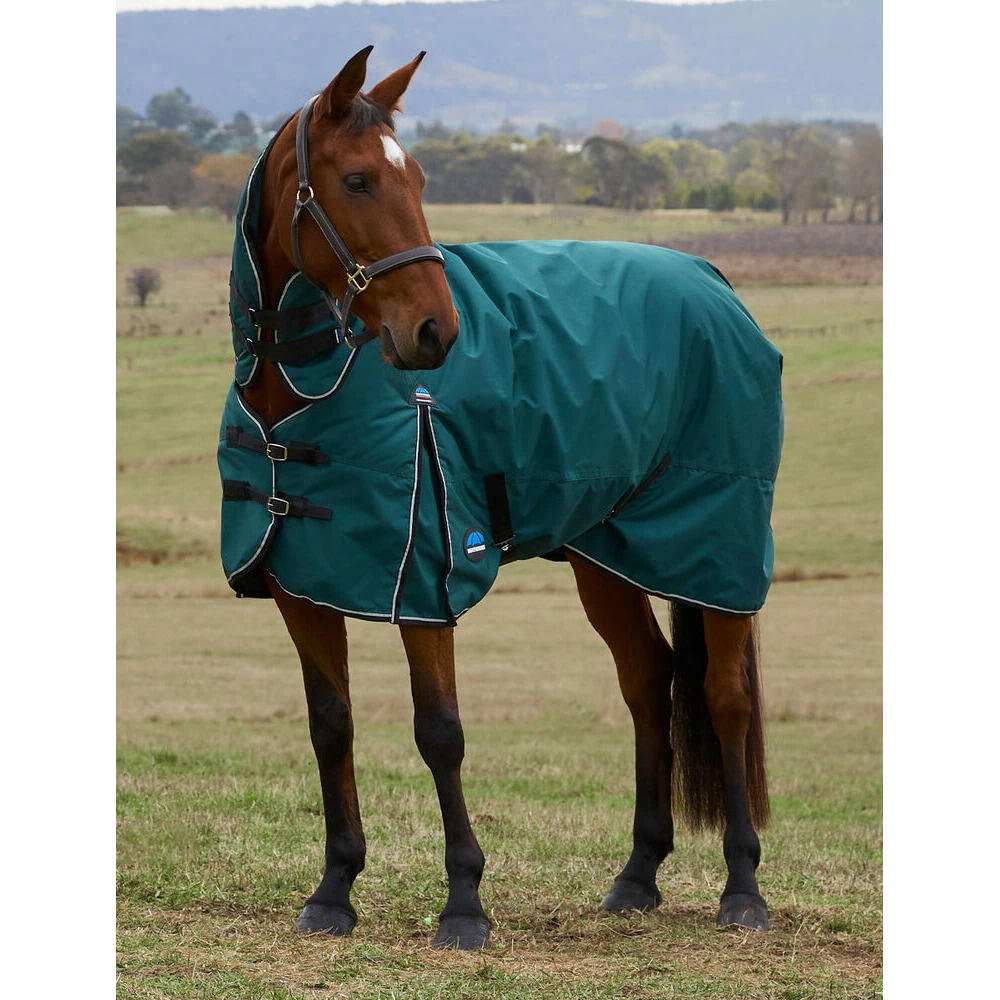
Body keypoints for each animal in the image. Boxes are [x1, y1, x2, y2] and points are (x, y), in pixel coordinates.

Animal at [221, 46, 779, 950]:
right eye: (356, 180)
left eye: (418, 178)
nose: (436, 334)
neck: (302, 390)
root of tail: (713, 281)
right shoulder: (302, 584)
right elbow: (330, 726)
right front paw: (335, 889)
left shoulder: (425, 581)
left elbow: (439, 733)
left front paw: (463, 905)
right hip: (607, 557)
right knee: (648, 682)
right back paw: (637, 876)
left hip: (715, 548)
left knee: (724, 698)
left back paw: (742, 890)